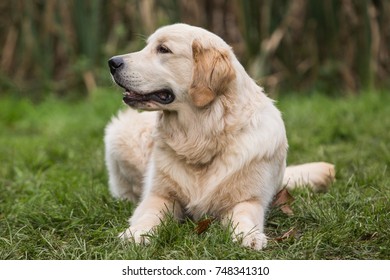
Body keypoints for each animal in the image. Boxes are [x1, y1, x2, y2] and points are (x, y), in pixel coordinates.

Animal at [104, 23, 336, 249]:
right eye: (148, 46)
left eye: (163, 49)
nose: (112, 62)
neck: (202, 136)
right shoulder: (160, 195)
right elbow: (150, 213)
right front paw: (137, 233)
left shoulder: (250, 199)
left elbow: (244, 215)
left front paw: (249, 235)